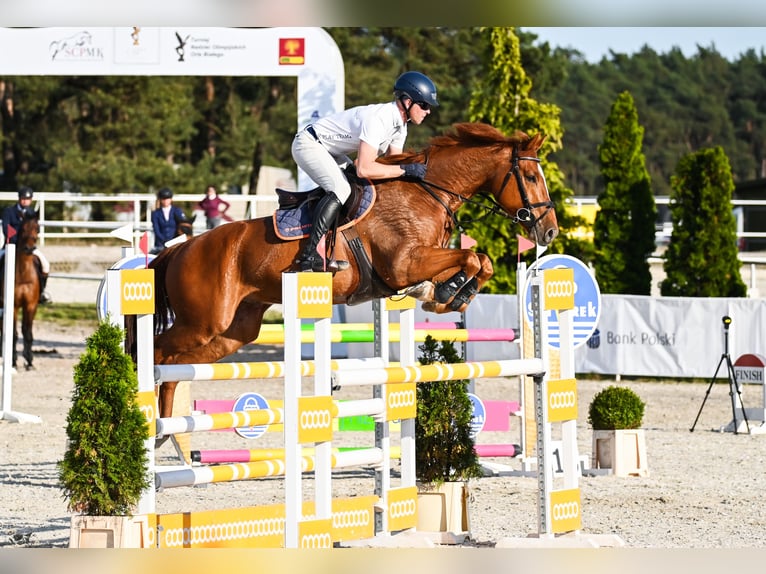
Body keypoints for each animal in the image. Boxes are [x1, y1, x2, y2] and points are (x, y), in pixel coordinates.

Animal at [0, 211, 42, 370]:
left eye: (37, 229)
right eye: (22, 228)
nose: (29, 249)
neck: (23, 274)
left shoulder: (30, 305)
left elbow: (27, 331)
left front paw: (29, 360)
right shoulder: (13, 306)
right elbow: (14, 333)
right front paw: (13, 361)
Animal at [142, 122, 559, 421]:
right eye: (532, 178)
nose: (550, 231)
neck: (427, 192)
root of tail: (181, 249)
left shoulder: (424, 259)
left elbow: (480, 261)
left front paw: (447, 295)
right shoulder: (405, 263)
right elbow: (472, 258)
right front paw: (448, 293)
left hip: (232, 331)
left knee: (175, 368)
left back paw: (167, 433)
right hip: (203, 322)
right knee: (158, 354)